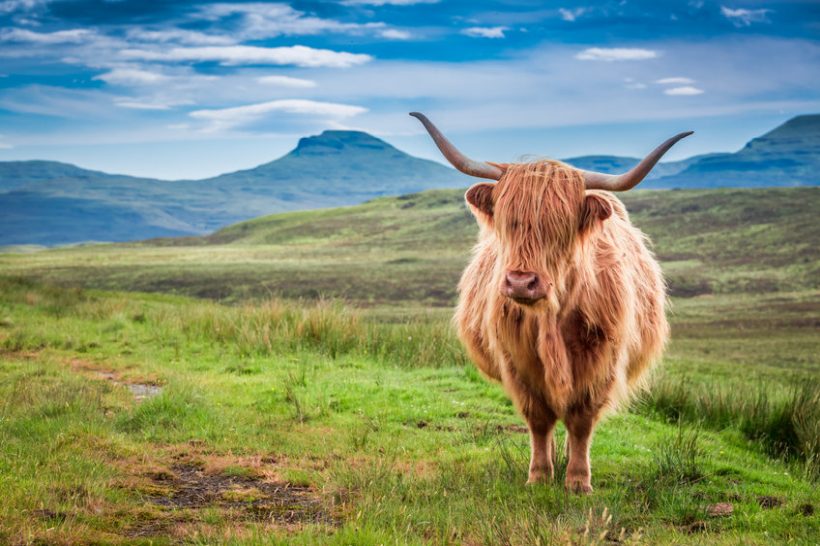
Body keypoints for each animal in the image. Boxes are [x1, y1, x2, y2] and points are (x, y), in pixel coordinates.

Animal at [410, 112, 692, 490]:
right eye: (507, 222)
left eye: (560, 226)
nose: (521, 282)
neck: (551, 319)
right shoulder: (517, 363)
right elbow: (539, 419)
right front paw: (540, 475)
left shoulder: (600, 363)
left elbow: (581, 421)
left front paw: (578, 481)